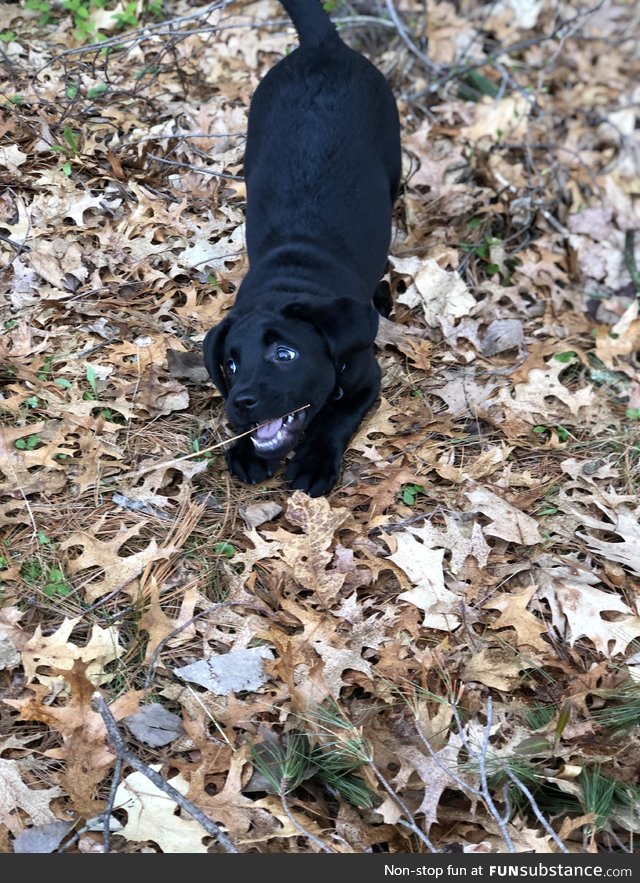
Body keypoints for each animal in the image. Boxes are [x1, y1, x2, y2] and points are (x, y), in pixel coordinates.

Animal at [202, 0, 400, 498]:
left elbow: (336, 418)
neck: (290, 281)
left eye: (285, 355)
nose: (242, 401)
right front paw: (247, 450)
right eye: (230, 364)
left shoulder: (367, 379)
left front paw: (313, 463)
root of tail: (322, 44)